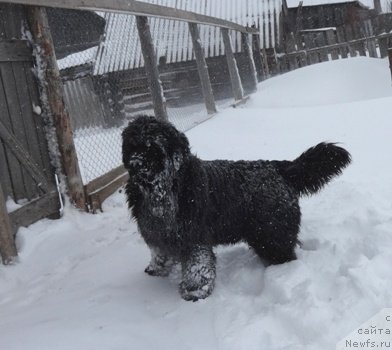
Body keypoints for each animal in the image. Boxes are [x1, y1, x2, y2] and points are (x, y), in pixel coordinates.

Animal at [121, 115, 350, 300]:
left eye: (152, 148)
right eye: (132, 147)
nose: (136, 164)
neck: (164, 187)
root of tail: (278, 167)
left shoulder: (193, 236)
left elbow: (197, 265)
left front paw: (195, 291)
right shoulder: (156, 231)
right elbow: (160, 251)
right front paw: (156, 268)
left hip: (272, 234)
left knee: (284, 253)